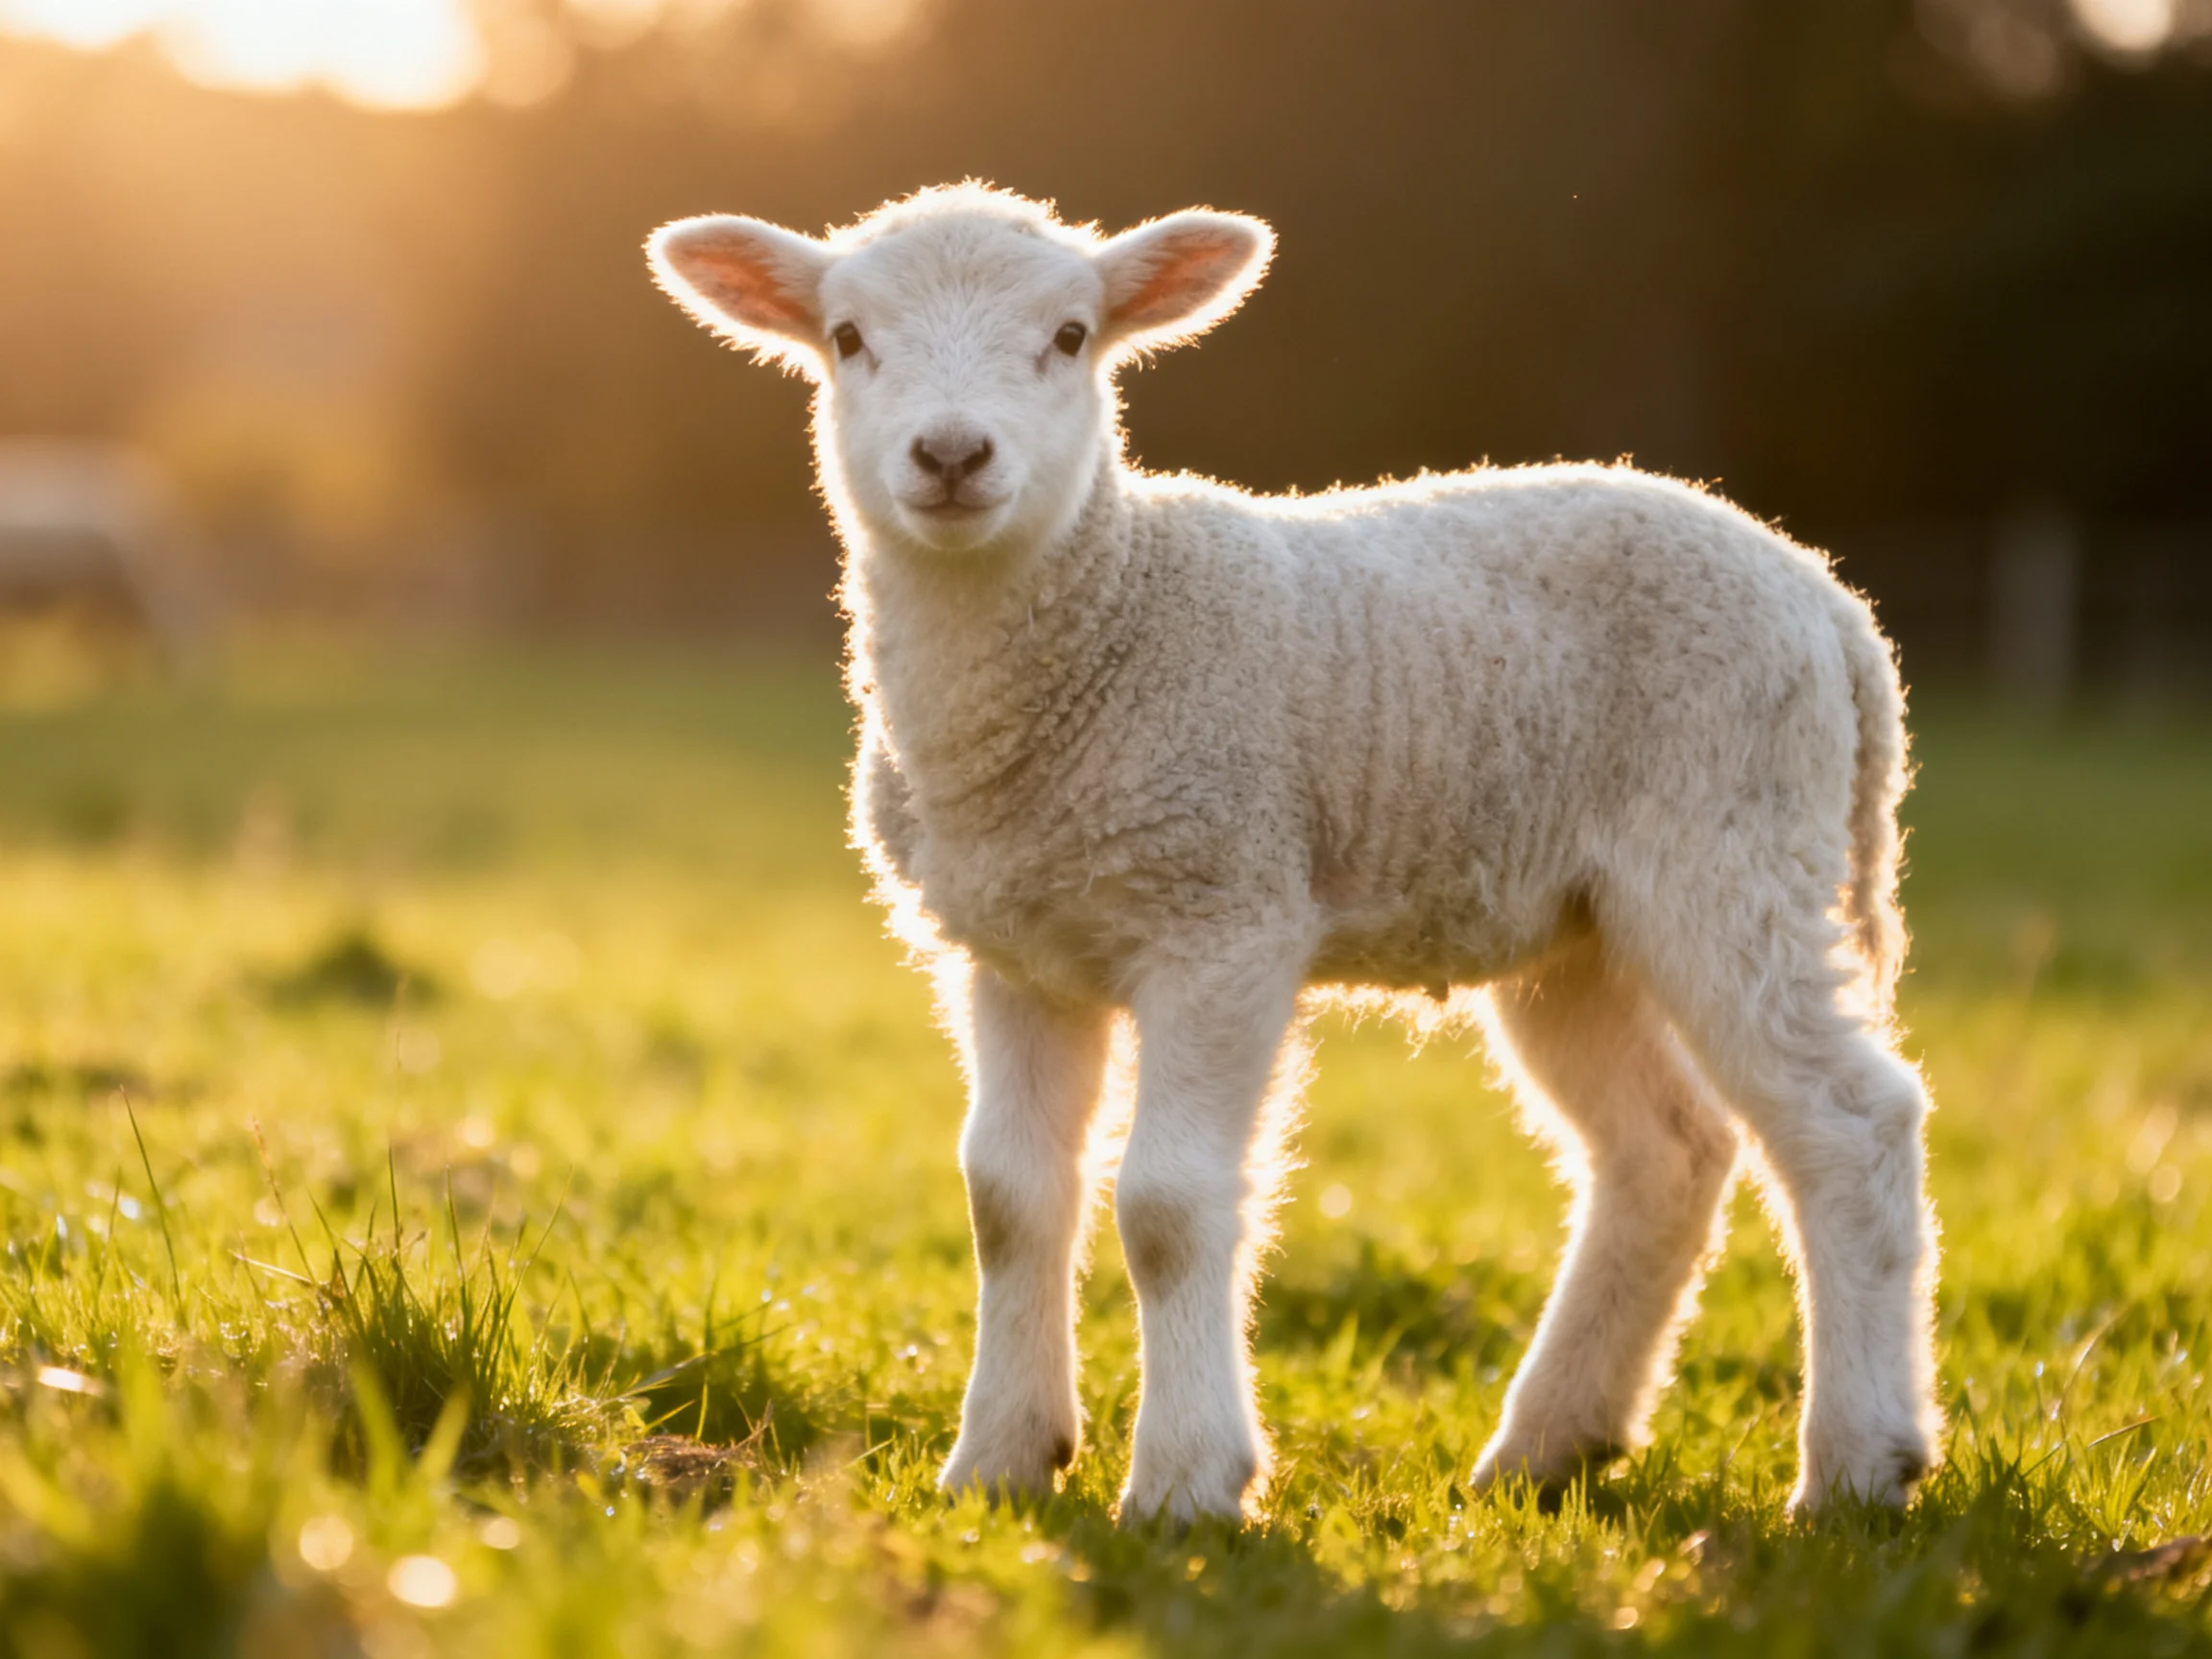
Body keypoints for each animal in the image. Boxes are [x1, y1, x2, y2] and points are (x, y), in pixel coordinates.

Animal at [646, 183, 1943, 1526]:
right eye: (848, 337)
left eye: (1070, 335)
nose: (952, 457)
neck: (1104, 625)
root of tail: (1828, 599)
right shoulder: (1015, 954)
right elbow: (1007, 1199)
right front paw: (998, 1466)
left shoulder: (1224, 915)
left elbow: (1167, 1204)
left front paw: (1184, 1483)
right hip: (1579, 930)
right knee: (1665, 1151)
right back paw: (1550, 1445)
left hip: (1733, 844)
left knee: (1851, 1123)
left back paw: (1857, 1465)